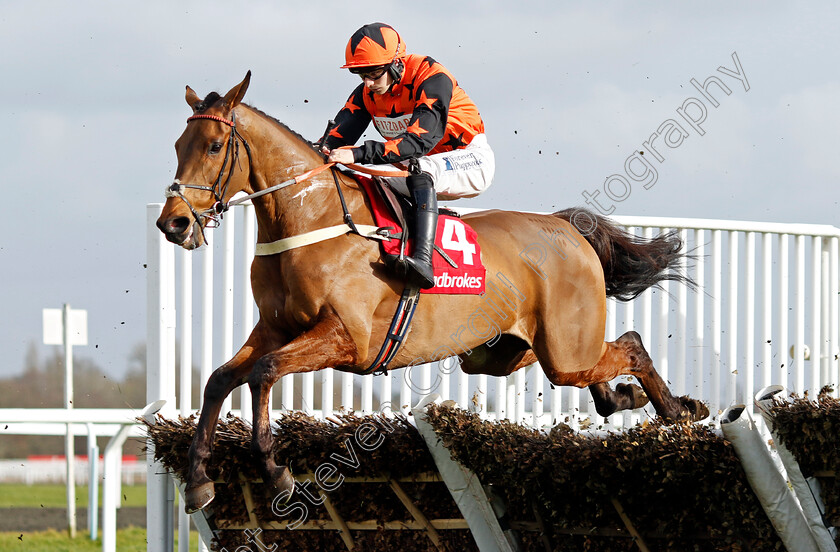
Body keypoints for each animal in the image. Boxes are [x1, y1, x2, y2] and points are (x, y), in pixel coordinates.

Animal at [156, 72, 708, 512]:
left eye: (213, 147)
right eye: (178, 146)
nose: (173, 223)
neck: (312, 220)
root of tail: (568, 227)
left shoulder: (346, 339)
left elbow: (263, 374)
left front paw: (276, 474)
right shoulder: (275, 328)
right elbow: (219, 380)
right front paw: (200, 481)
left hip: (561, 348)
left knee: (629, 346)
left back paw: (678, 410)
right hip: (508, 352)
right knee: (603, 361)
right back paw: (626, 397)